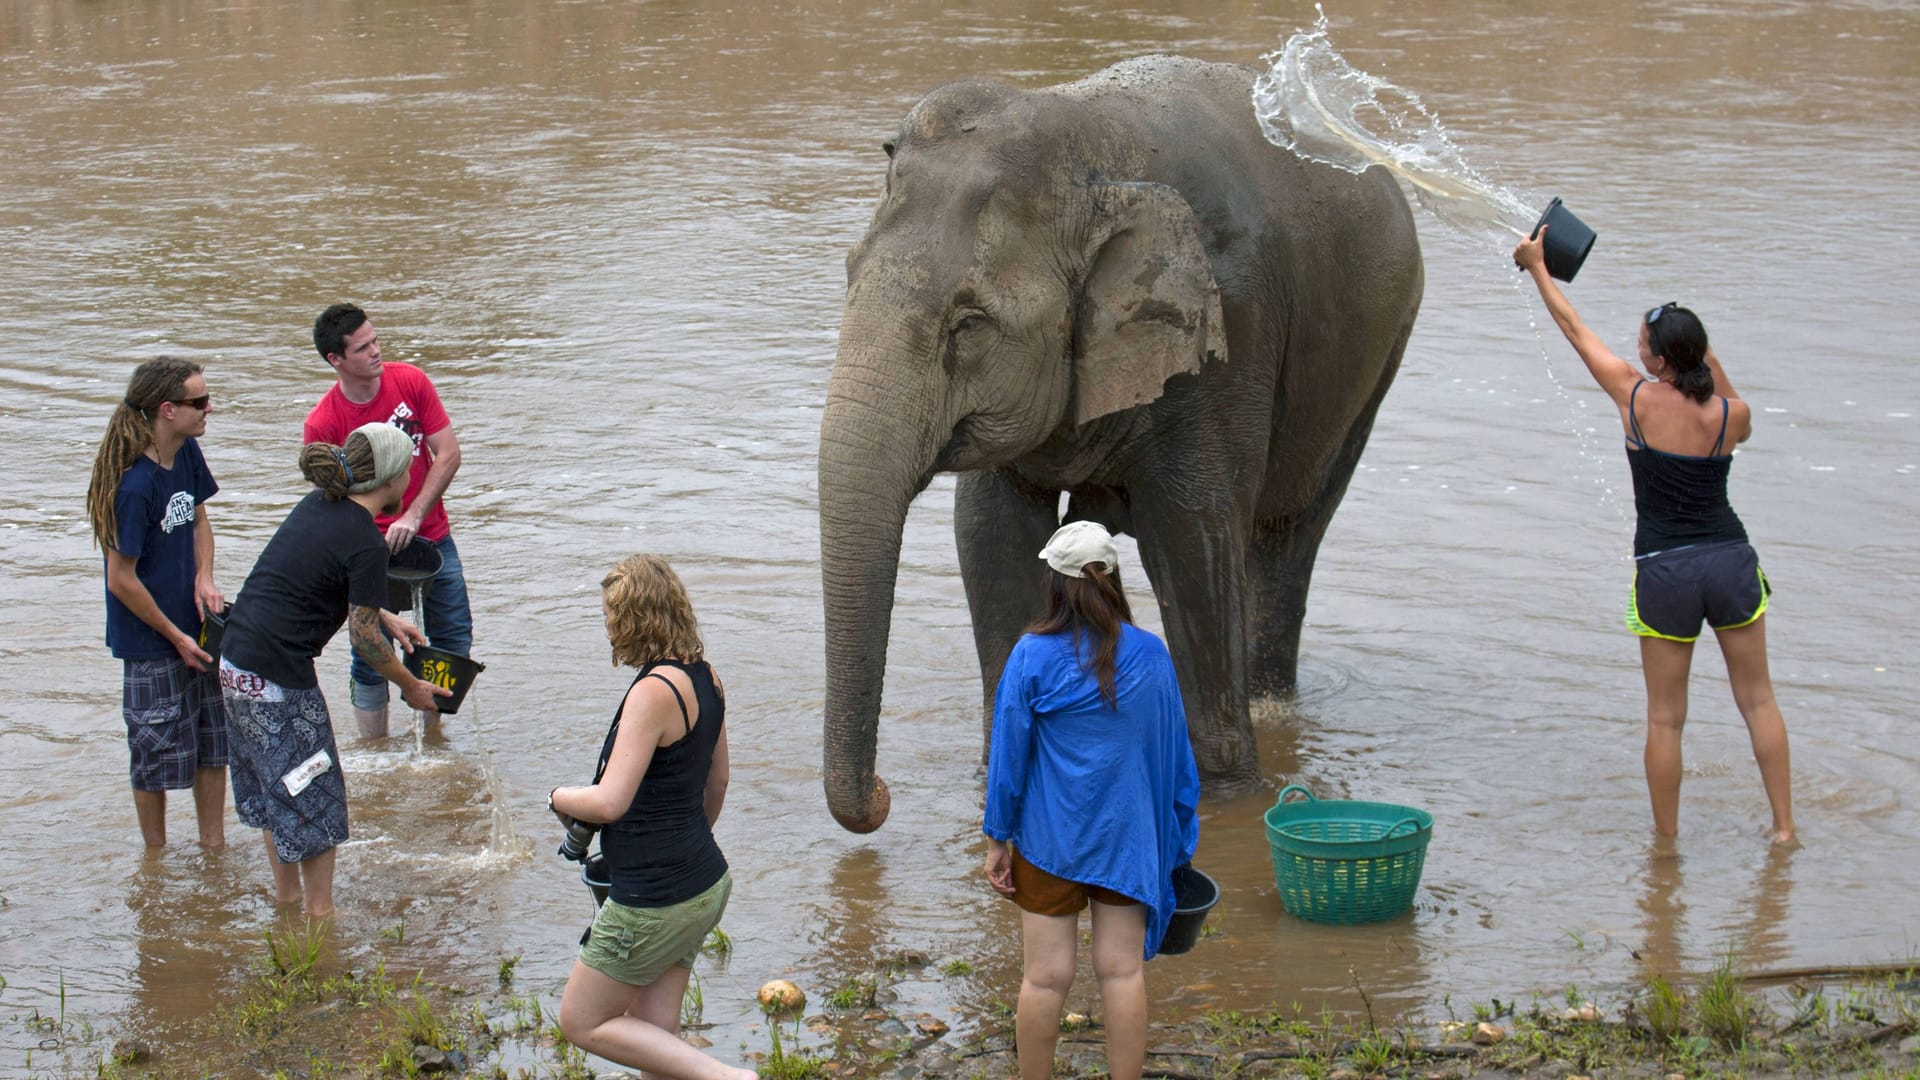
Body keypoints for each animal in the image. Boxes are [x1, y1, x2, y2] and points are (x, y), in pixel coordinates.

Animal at [817, 52, 1420, 834]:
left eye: (969, 323)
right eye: (848, 272)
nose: (884, 796)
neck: (1086, 145)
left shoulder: (1225, 335)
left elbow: (1191, 539)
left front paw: (1227, 798)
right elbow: (990, 536)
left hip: (1374, 361)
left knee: (1287, 536)